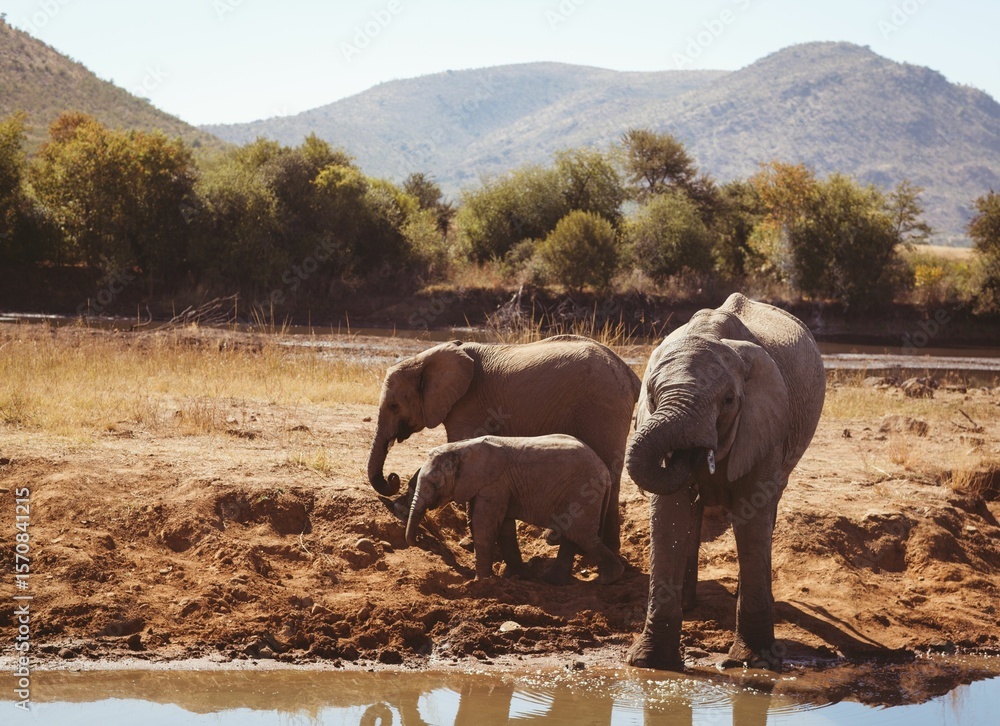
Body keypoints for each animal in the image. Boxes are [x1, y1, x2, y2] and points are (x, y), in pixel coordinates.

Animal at [366, 335, 641, 565]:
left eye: (393, 406)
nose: (392, 478)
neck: (422, 359)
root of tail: (628, 373)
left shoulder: (468, 405)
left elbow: (457, 446)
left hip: (601, 406)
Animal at [405, 434, 625, 585]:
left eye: (434, 484)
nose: (419, 541)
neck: (460, 448)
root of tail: (605, 472)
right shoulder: (493, 486)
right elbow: (503, 528)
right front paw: (517, 576)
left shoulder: (495, 484)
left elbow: (484, 525)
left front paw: (482, 583)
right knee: (574, 535)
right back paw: (553, 580)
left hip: (583, 493)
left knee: (583, 535)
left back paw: (608, 579)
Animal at [624, 293, 825, 671]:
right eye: (653, 397)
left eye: (728, 401)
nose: (690, 454)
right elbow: (670, 515)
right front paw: (650, 663)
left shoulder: (763, 425)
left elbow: (750, 516)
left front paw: (753, 662)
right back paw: (688, 605)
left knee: (768, 510)